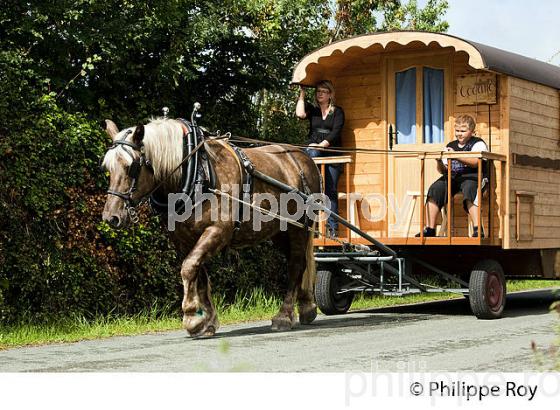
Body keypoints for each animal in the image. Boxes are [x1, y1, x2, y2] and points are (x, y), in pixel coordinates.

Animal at [100, 117, 320, 336]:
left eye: (131, 167)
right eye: (108, 168)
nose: (111, 217)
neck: (198, 173)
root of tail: (303, 157)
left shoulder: (218, 231)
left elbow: (188, 267)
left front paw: (191, 316)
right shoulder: (184, 240)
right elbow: (199, 274)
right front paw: (206, 321)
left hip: (299, 228)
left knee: (296, 265)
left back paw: (284, 315)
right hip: (280, 231)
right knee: (299, 263)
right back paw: (307, 306)